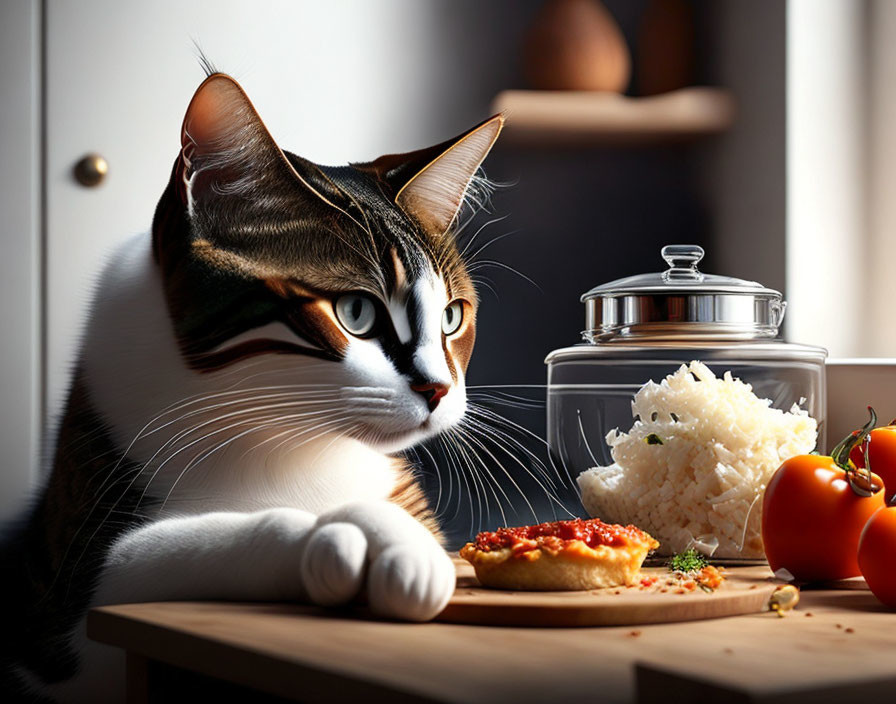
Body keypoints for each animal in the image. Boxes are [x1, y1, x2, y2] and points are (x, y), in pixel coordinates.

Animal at [0, 69, 500, 700]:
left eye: (452, 317)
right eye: (356, 313)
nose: (438, 390)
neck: (288, 436)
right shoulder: (71, 593)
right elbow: (152, 558)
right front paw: (364, 536)